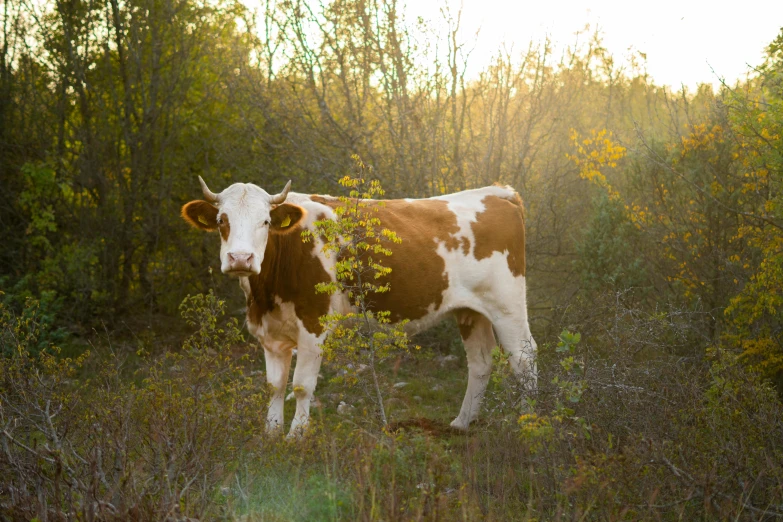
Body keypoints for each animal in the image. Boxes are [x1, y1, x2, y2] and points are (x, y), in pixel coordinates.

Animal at [182, 177, 540, 432]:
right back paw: (461, 424)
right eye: (222, 220)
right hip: (470, 310)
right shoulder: (270, 332)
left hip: (507, 304)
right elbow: (275, 385)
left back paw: (527, 426)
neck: (265, 294)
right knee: (480, 361)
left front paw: (297, 435)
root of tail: (496, 192)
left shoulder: (314, 324)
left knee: (524, 359)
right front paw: (271, 434)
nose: (240, 258)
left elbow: (301, 386)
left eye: (266, 222)